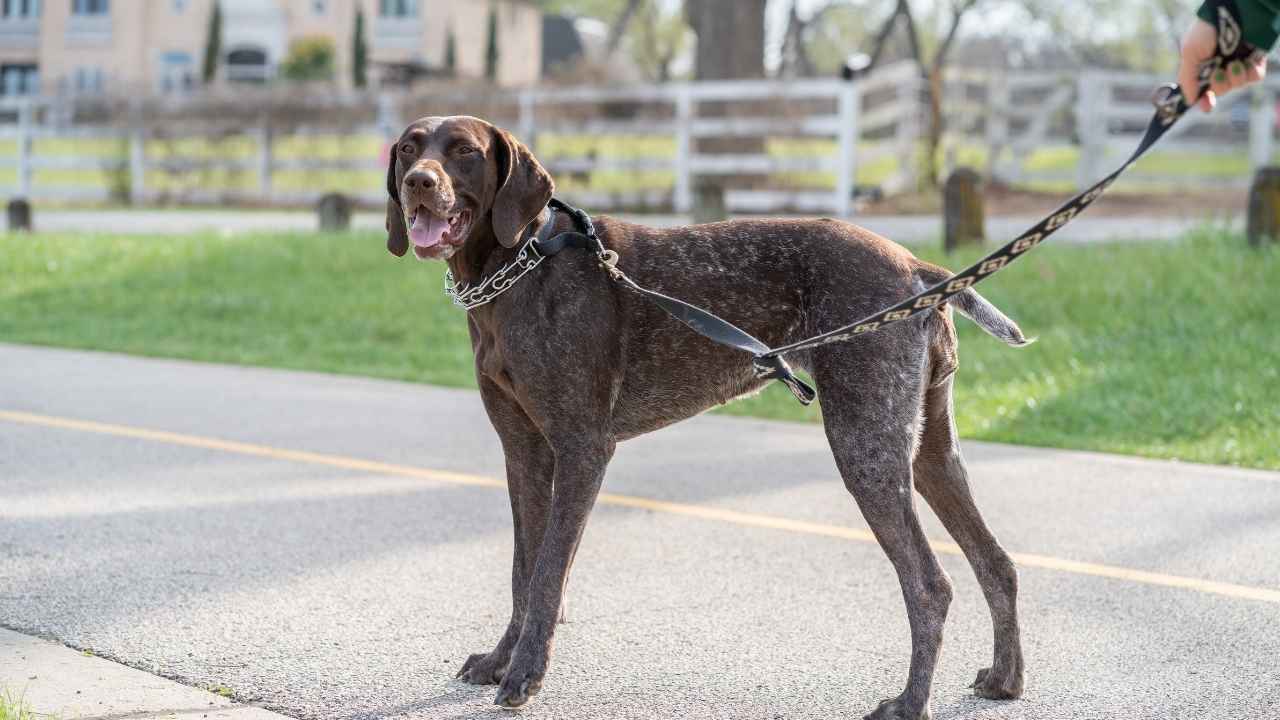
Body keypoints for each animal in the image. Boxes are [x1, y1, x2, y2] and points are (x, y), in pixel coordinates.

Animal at [381, 114, 1029, 712]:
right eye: (409, 148)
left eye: (464, 151)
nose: (417, 183)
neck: (520, 264)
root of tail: (918, 268)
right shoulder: (524, 453)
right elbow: (523, 571)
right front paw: (500, 660)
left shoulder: (582, 449)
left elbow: (546, 575)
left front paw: (524, 676)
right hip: (928, 453)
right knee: (997, 564)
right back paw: (1005, 679)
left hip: (865, 448)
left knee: (930, 585)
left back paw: (910, 702)